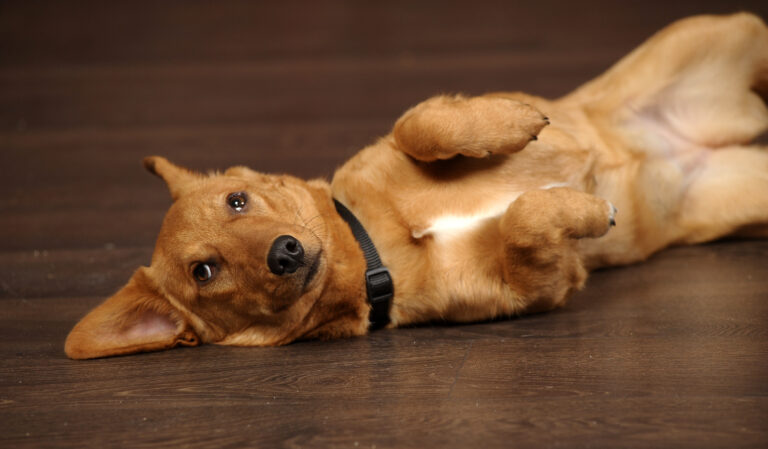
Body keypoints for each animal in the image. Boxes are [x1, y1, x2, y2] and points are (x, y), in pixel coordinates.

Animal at [64, 12, 768, 358]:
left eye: (238, 201)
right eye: (204, 272)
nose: (284, 253)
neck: (374, 245)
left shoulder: (405, 137)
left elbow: (420, 123)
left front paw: (516, 122)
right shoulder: (532, 288)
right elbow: (524, 222)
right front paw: (586, 208)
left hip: (736, 31)